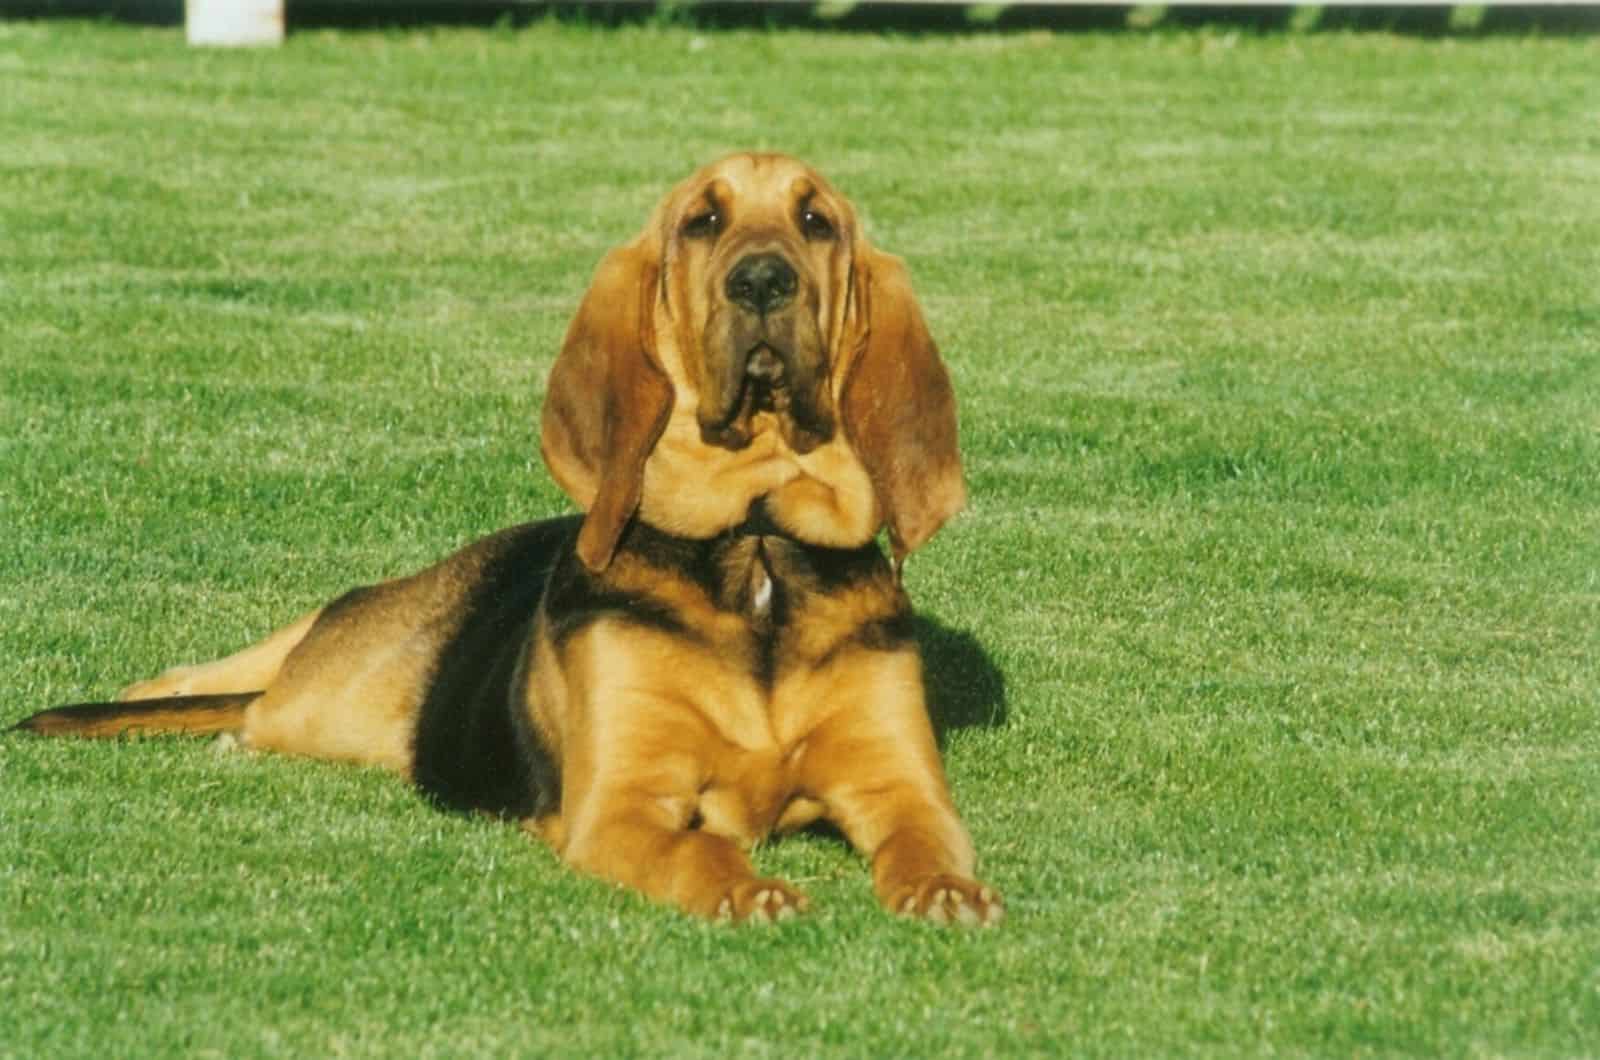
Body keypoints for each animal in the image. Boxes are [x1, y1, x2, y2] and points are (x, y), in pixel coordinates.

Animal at [15, 153, 998, 928]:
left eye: (815, 220)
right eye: (704, 220)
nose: (762, 281)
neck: (753, 546)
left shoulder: (901, 783)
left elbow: (926, 841)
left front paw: (947, 891)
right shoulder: (622, 805)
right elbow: (703, 852)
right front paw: (750, 891)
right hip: (329, 685)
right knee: (249, 678)